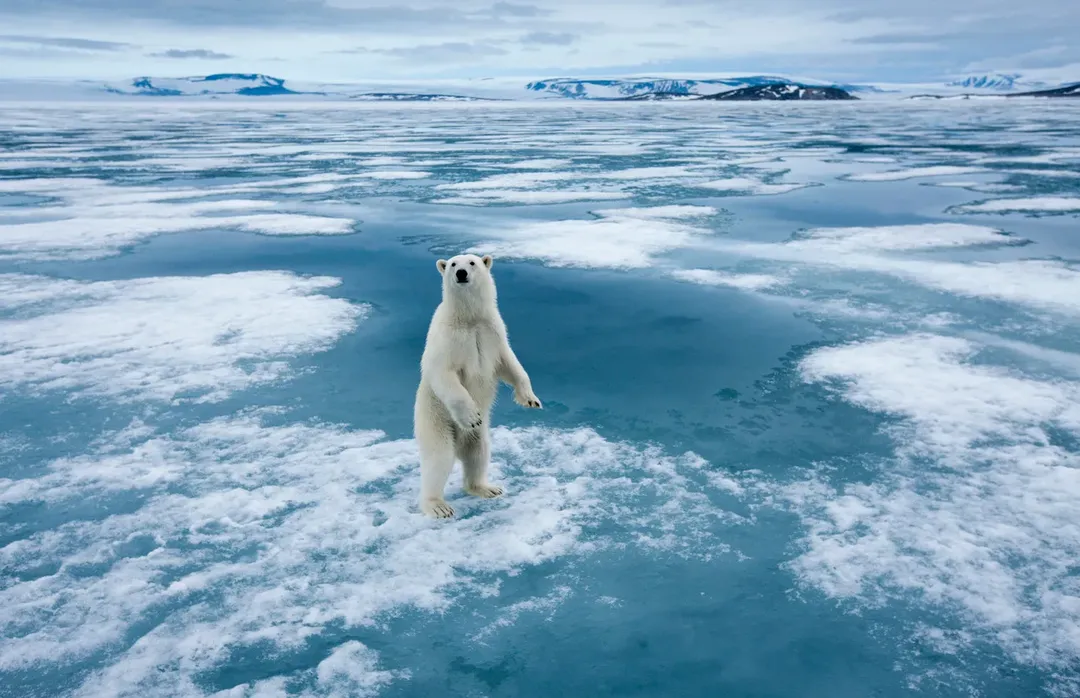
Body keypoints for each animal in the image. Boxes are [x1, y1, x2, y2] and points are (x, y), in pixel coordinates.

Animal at [416, 253, 544, 516]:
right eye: (453, 264)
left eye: (472, 263)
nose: (461, 273)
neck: (469, 319)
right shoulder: (447, 338)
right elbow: (443, 373)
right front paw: (472, 415)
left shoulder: (492, 332)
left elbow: (510, 363)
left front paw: (530, 399)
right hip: (435, 419)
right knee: (439, 459)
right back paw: (437, 506)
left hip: (479, 437)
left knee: (479, 454)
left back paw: (486, 488)